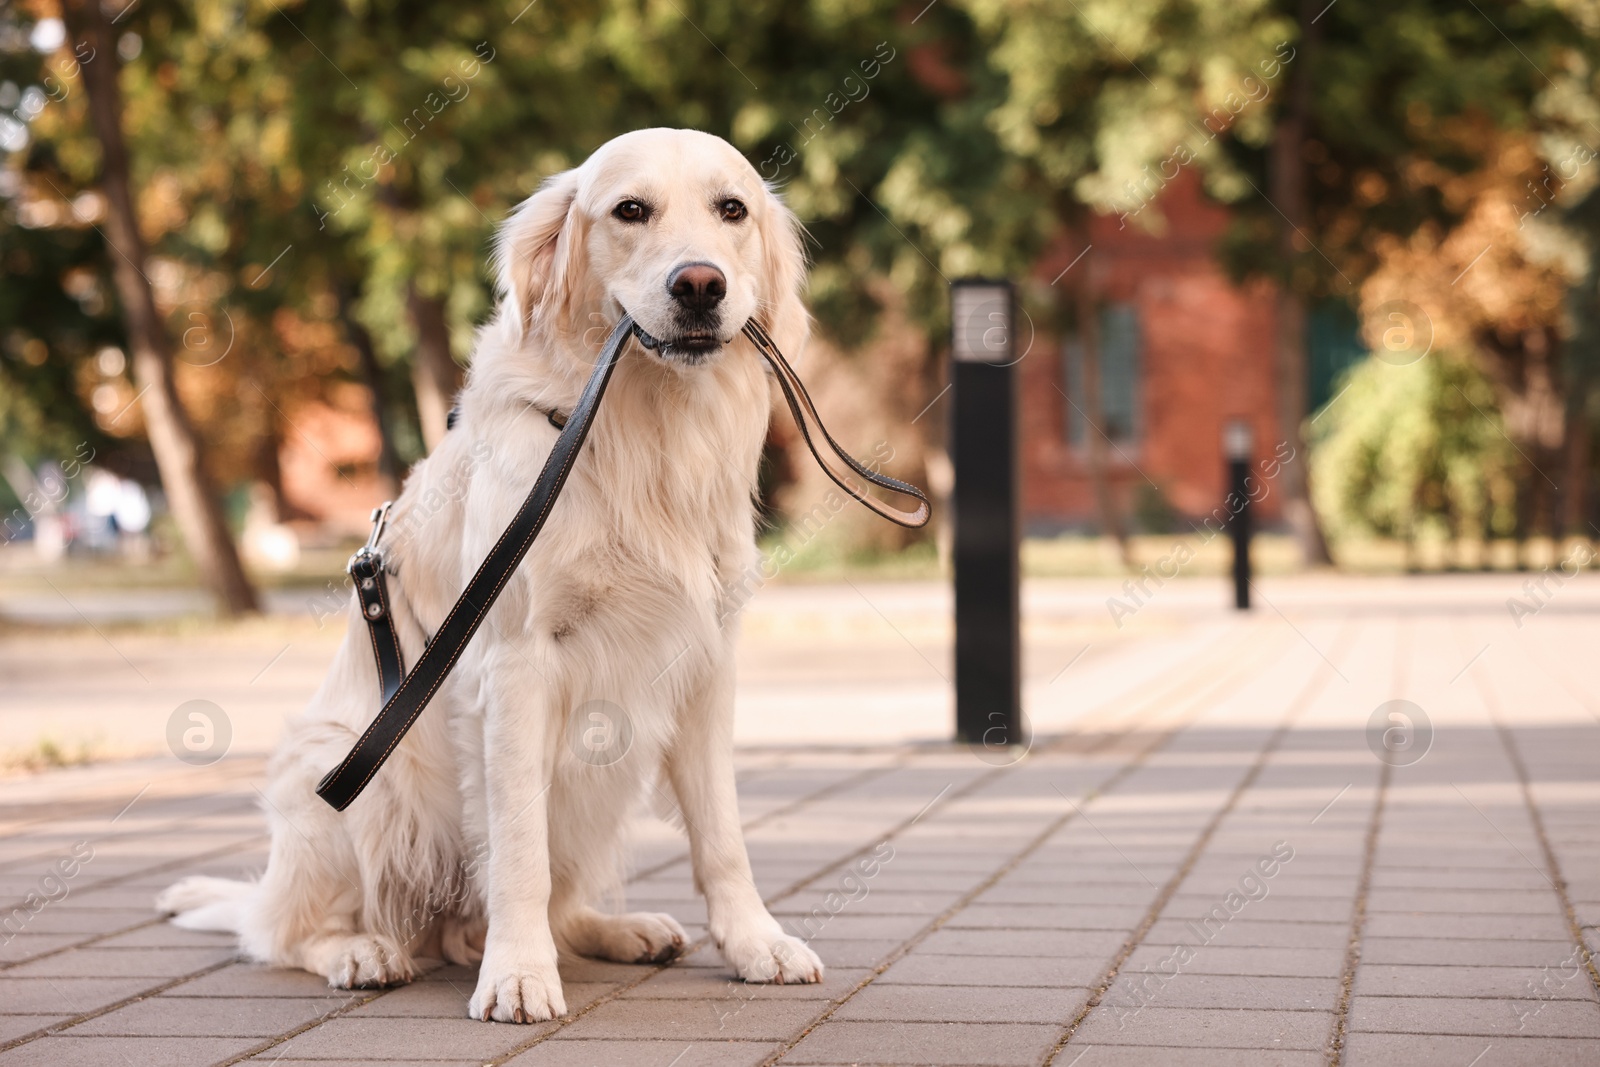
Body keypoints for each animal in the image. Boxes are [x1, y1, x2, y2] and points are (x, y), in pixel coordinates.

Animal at [156, 129, 825, 1023]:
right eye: (630, 210)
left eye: (732, 210)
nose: (699, 284)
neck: (637, 432)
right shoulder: (514, 663)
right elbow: (517, 846)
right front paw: (517, 974)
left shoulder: (706, 663)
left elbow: (723, 837)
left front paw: (756, 942)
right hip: (351, 771)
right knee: (282, 932)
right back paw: (362, 950)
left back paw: (621, 928)